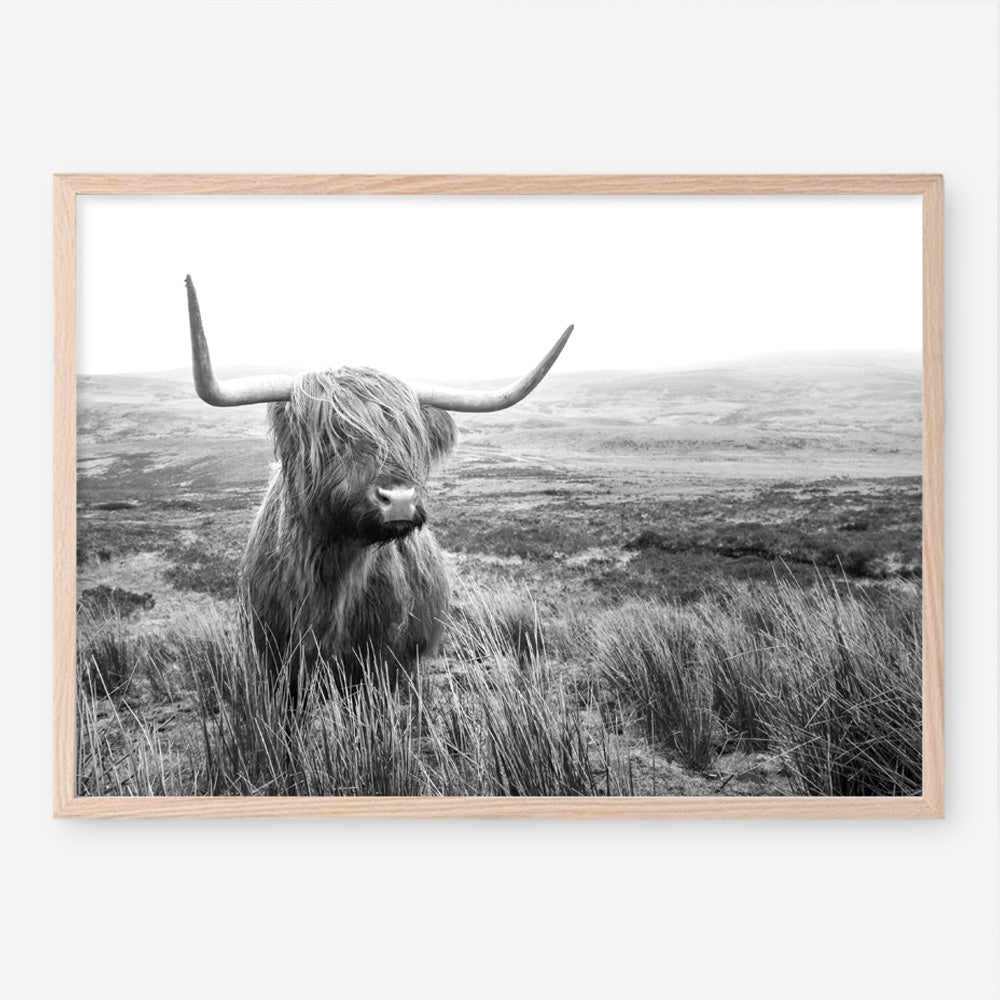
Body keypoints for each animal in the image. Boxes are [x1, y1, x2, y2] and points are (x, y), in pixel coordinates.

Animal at [184, 276, 572, 693]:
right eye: (331, 437)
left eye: (410, 438)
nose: (399, 499)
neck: (334, 577)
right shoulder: (274, 660)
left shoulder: (386, 663)